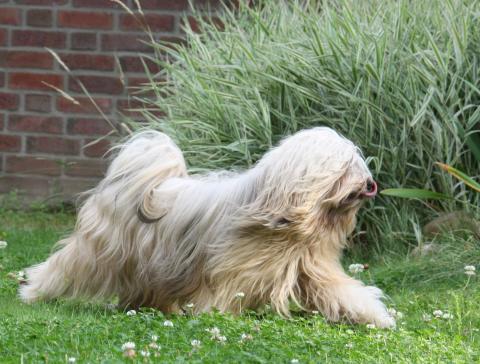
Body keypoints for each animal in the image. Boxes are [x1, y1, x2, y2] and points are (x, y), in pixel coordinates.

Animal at [17, 127, 394, 328]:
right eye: (344, 169)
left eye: (357, 164)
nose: (370, 183)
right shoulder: (230, 273)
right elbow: (220, 300)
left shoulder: (312, 268)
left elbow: (344, 293)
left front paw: (378, 317)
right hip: (98, 250)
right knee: (67, 266)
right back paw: (34, 291)